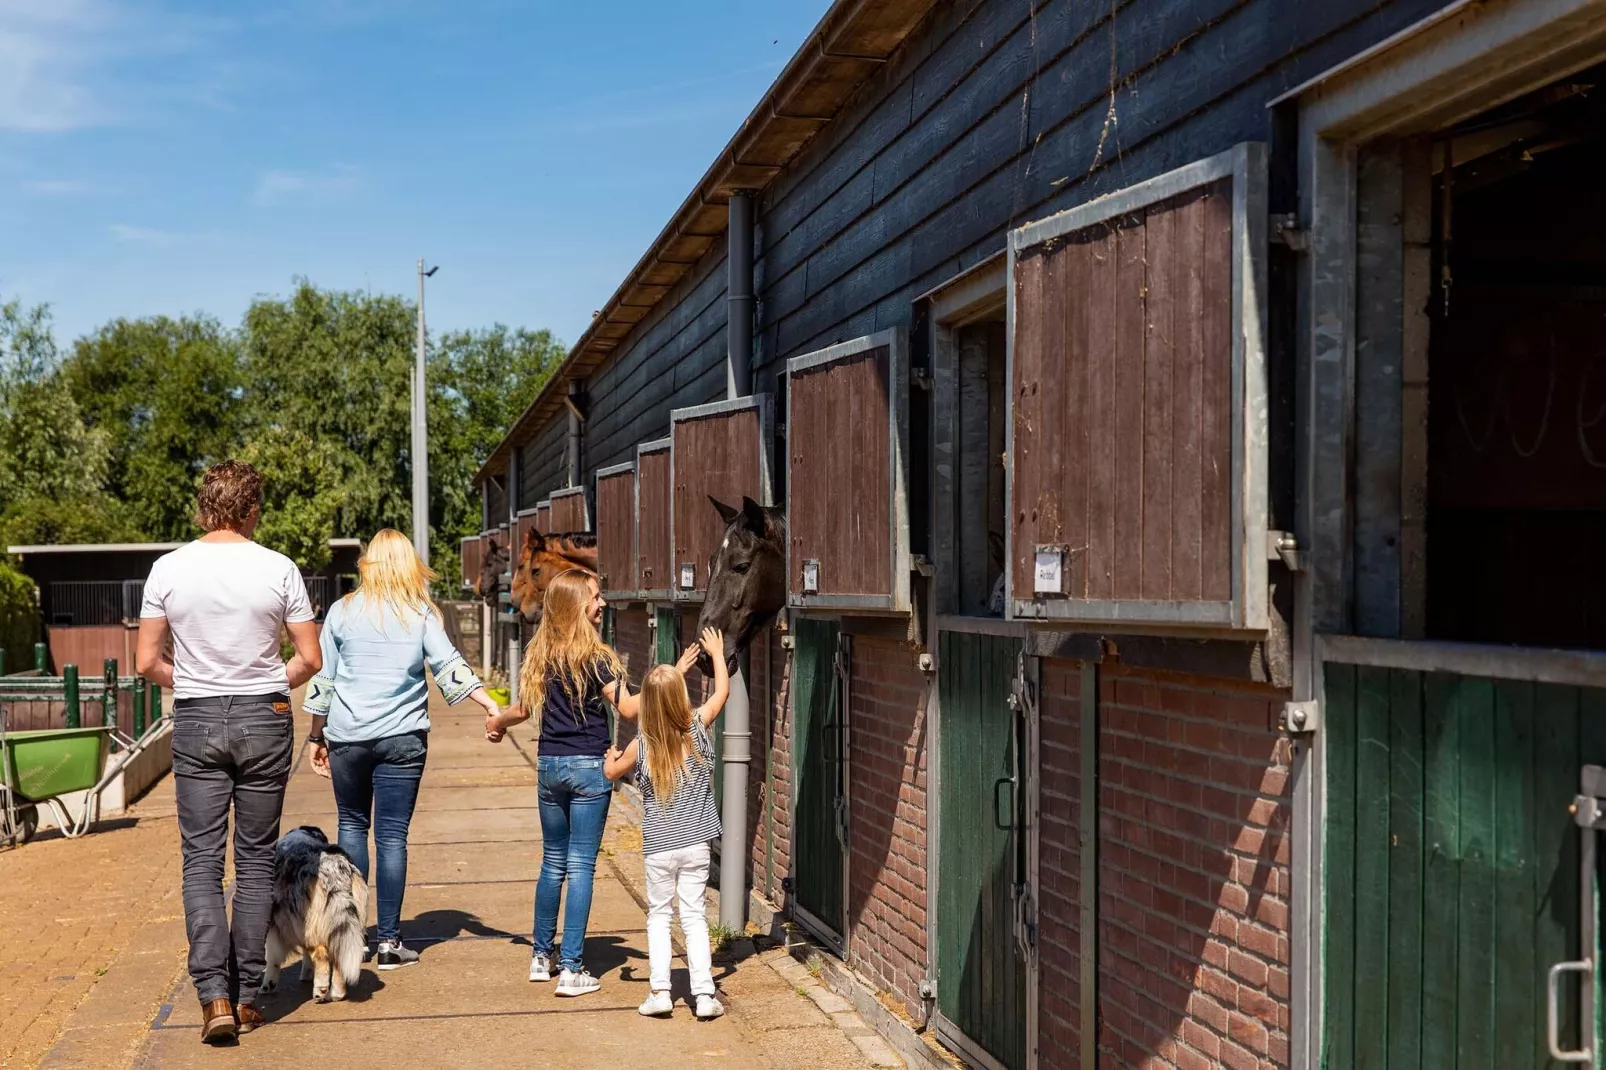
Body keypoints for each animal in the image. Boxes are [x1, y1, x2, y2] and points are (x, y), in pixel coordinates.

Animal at [260, 822, 367, 1002]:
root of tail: (335, 872)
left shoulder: (276, 926)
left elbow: (273, 959)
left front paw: (267, 985)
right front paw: (307, 973)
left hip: (311, 925)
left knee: (321, 954)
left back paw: (320, 990)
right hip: (344, 925)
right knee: (337, 958)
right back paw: (336, 994)